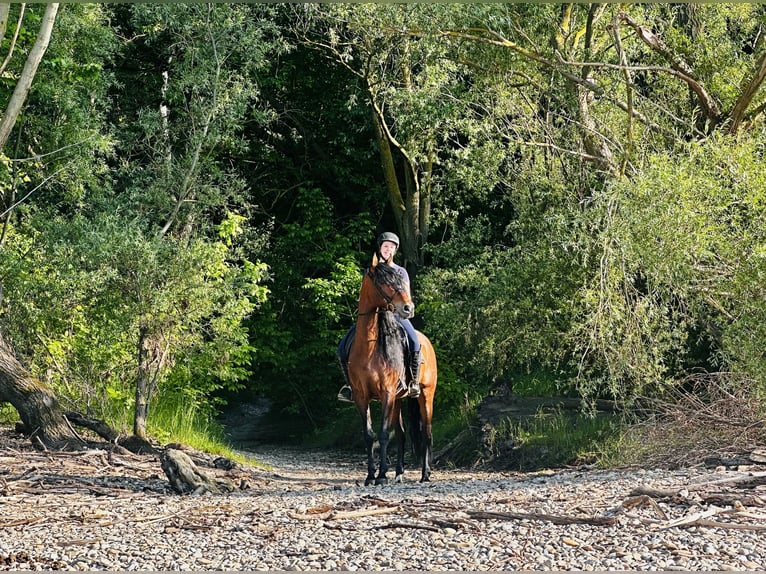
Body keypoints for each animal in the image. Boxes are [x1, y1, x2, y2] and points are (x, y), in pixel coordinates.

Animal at [347, 252, 437, 485]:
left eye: (400, 281)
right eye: (384, 282)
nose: (408, 308)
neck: (369, 347)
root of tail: (427, 342)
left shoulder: (386, 393)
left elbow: (384, 434)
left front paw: (381, 476)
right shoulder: (361, 396)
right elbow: (369, 435)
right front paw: (371, 475)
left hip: (426, 395)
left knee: (427, 432)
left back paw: (425, 474)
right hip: (397, 400)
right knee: (403, 434)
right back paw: (398, 473)